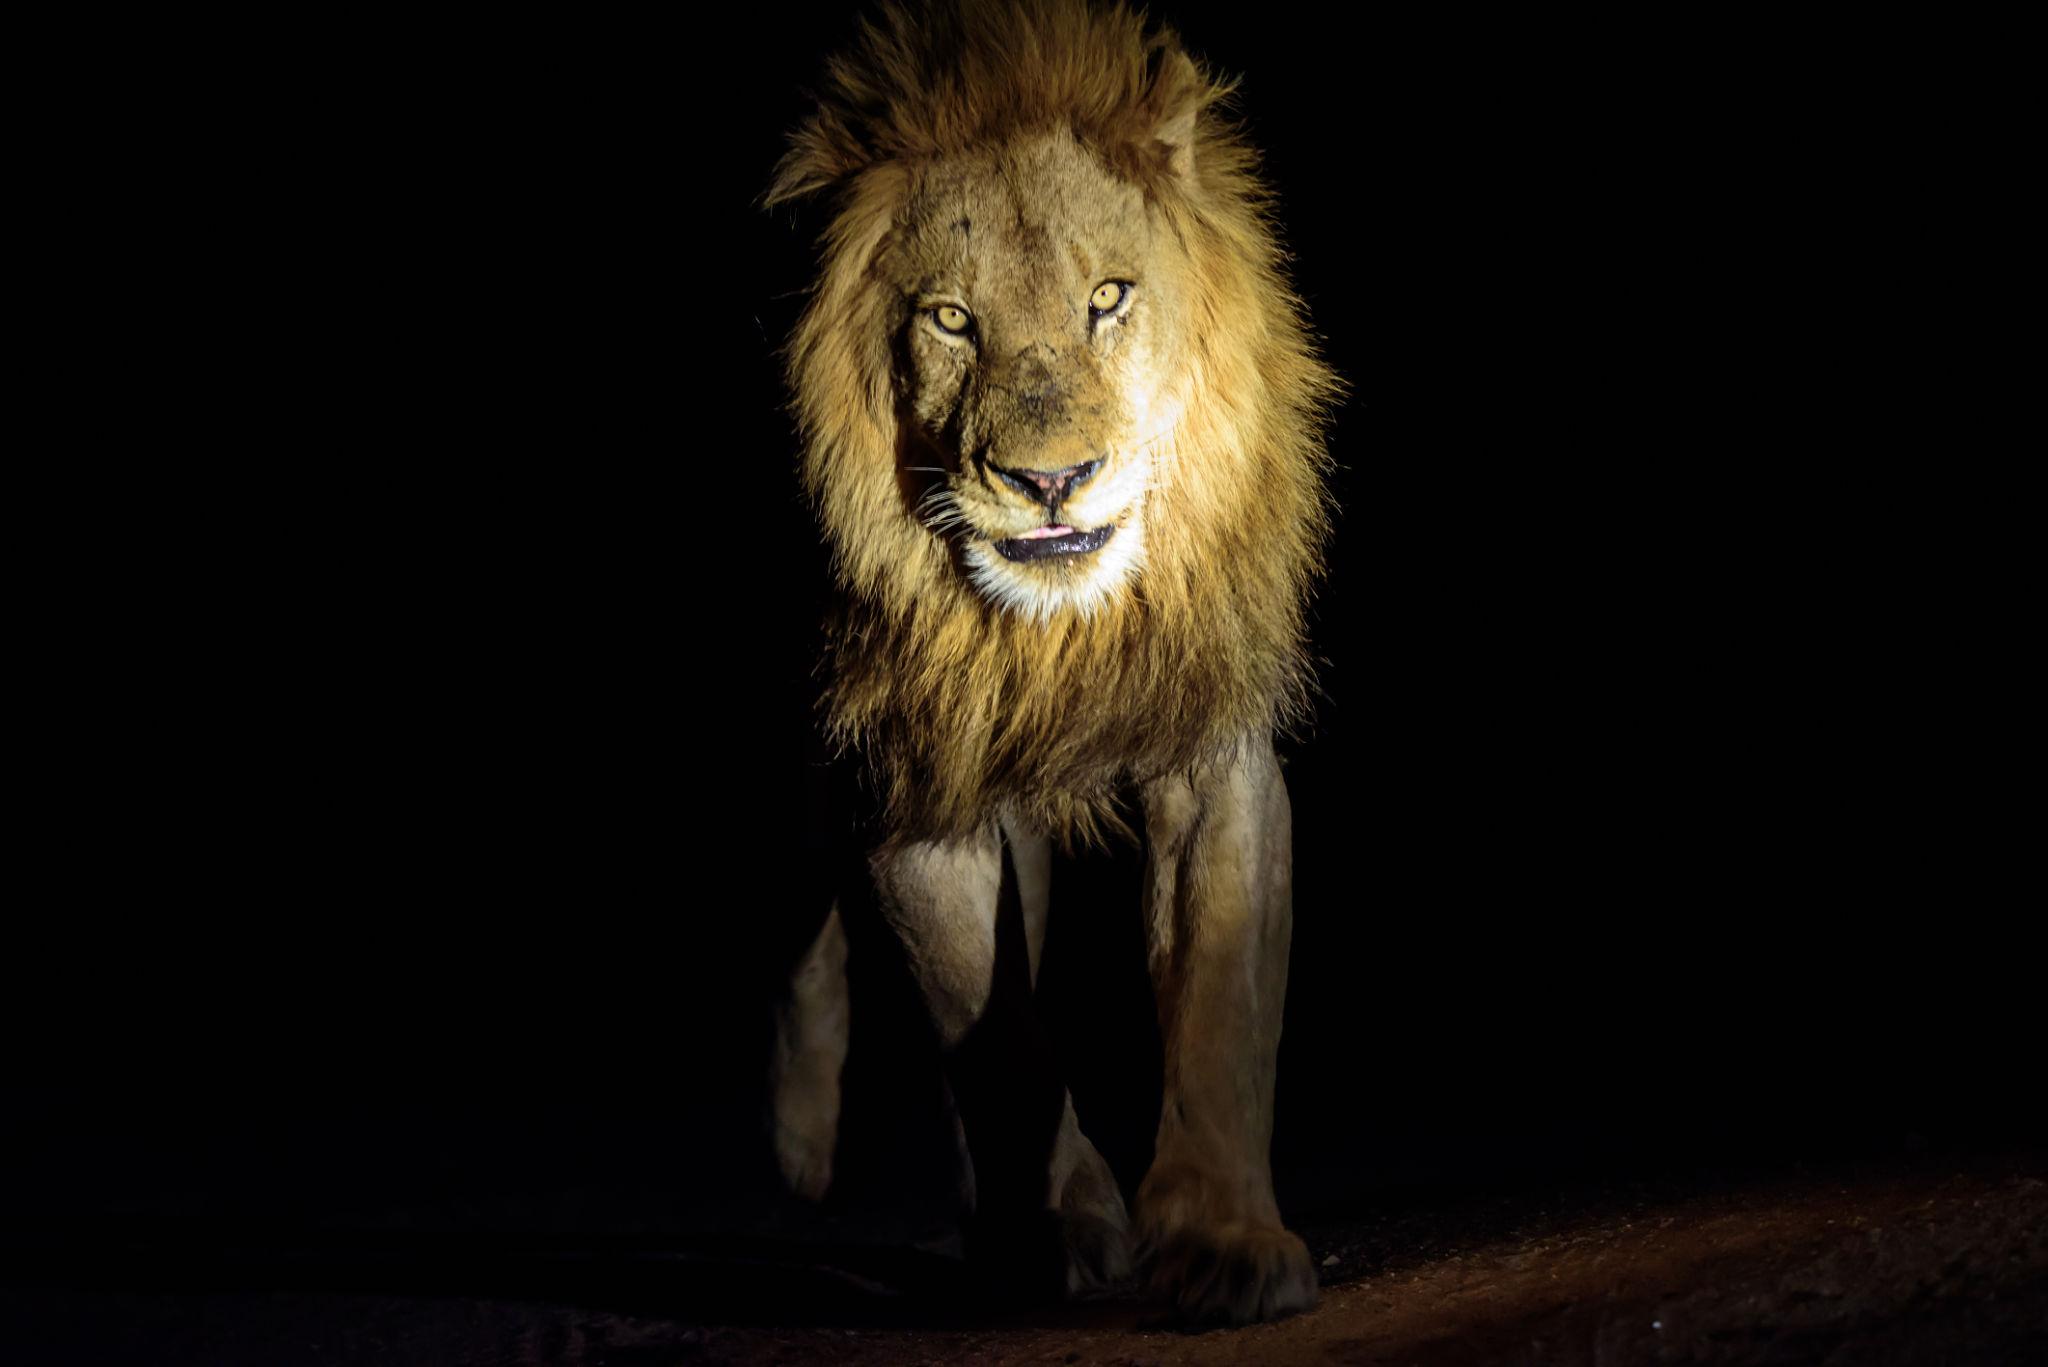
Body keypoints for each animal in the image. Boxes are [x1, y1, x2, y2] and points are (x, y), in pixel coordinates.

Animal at [765, 0, 1338, 1327]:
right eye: (950, 318)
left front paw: (1224, 1241)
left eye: (1107, 297)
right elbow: (998, 1034)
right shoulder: (912, 777)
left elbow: (1218, 1006)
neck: (1054, 629)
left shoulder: (1208, 742)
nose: (1049, 481)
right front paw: (1070, 1227)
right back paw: (812, 1151)